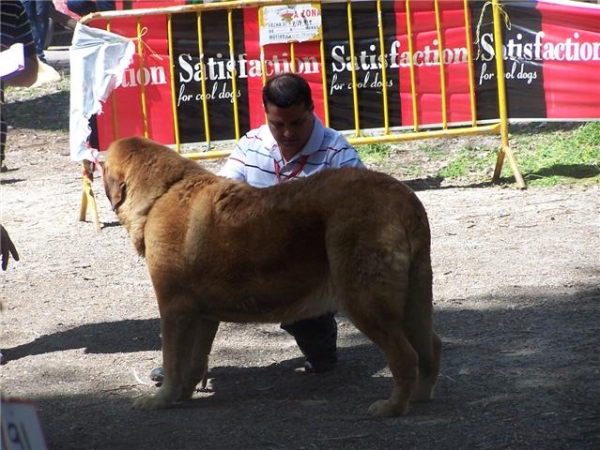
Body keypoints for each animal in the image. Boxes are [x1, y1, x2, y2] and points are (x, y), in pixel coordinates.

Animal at [102, 135, 440, 416]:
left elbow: (173, 362)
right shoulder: (203, 317)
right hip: (413, 302)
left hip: (365, 303)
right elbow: (195, 363)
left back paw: (392, 407)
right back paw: (421, 396)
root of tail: (404, 197)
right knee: (431, 346)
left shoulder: (174, 310)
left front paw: (161, 400)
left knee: (405, 357)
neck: (162, 193)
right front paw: (184, 395)